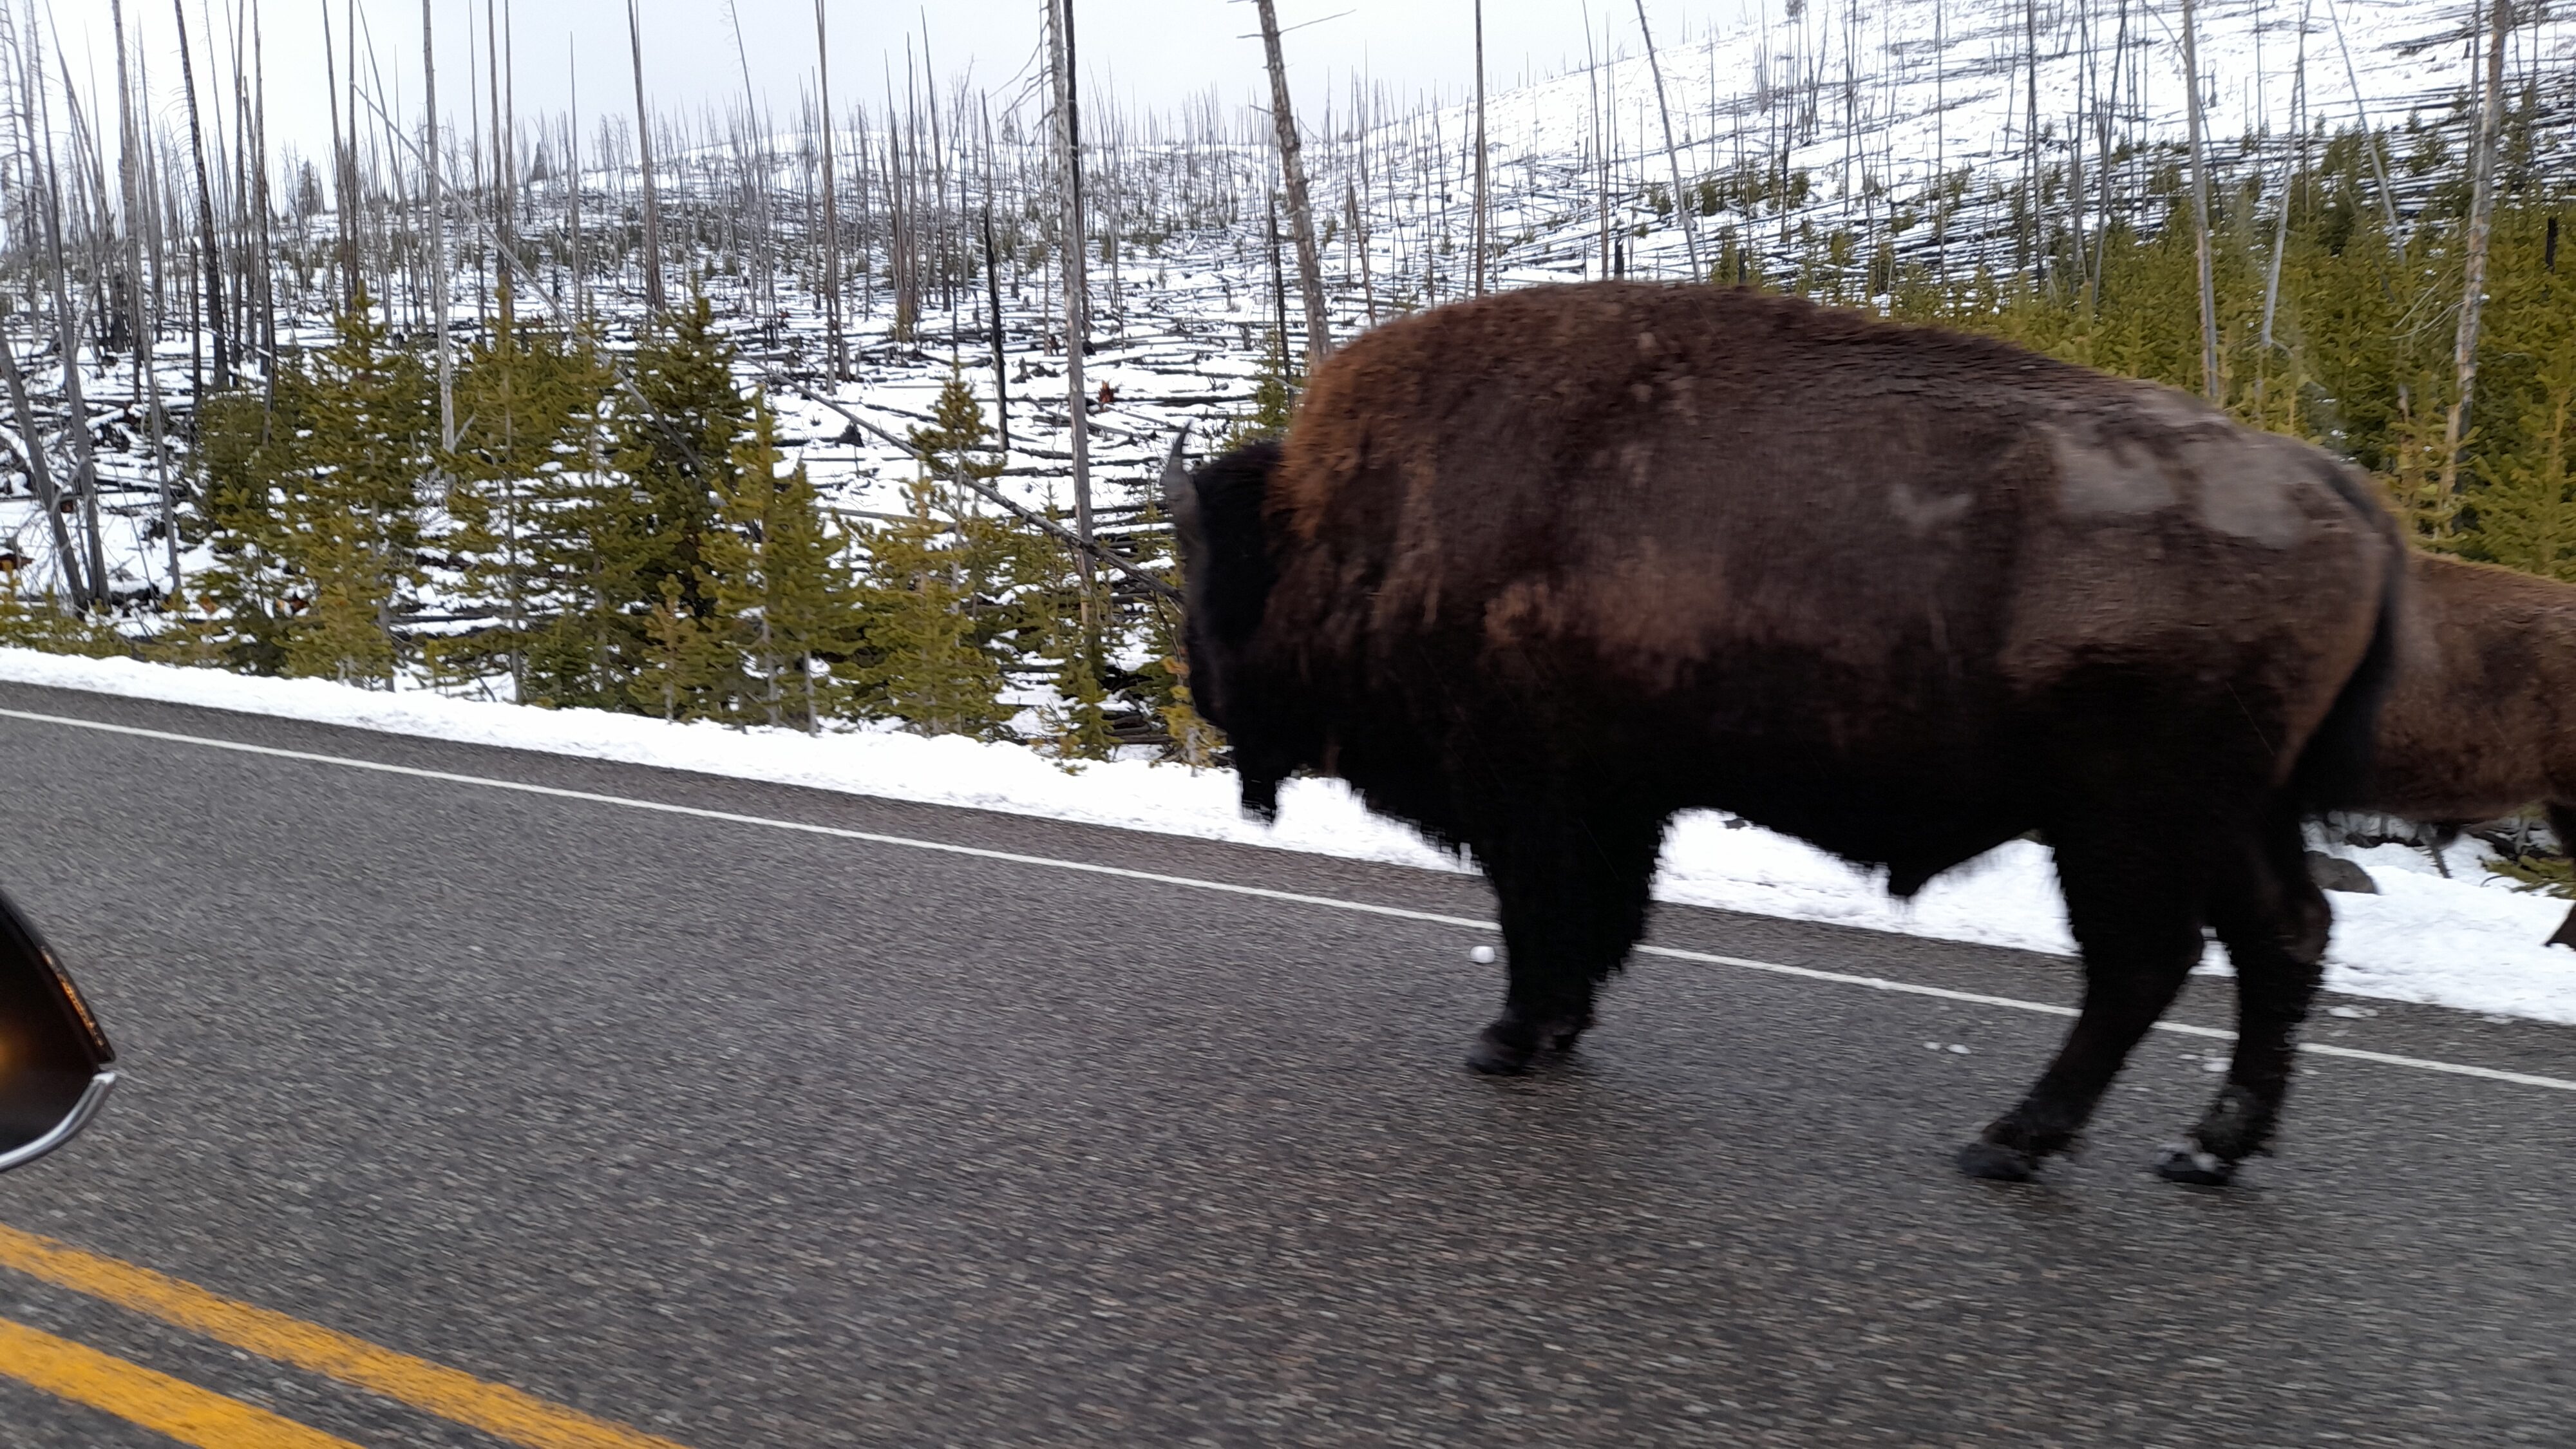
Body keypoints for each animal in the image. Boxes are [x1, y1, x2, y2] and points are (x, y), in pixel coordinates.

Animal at [1165, 283, 2402, 1185]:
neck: (1365, 513)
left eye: (1209, 567)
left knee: (2142, 964)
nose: (1205, 689)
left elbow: (1541, 915)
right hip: (2241, 815)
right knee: (2283, 938)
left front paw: (1510, 1038)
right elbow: (1597, 917)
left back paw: (2012, 1143)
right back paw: (2208, 1151)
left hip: (2126, 824)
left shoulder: (1532, 788)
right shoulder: (1616, 797)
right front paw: (1555, 1032)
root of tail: (2337, 491)